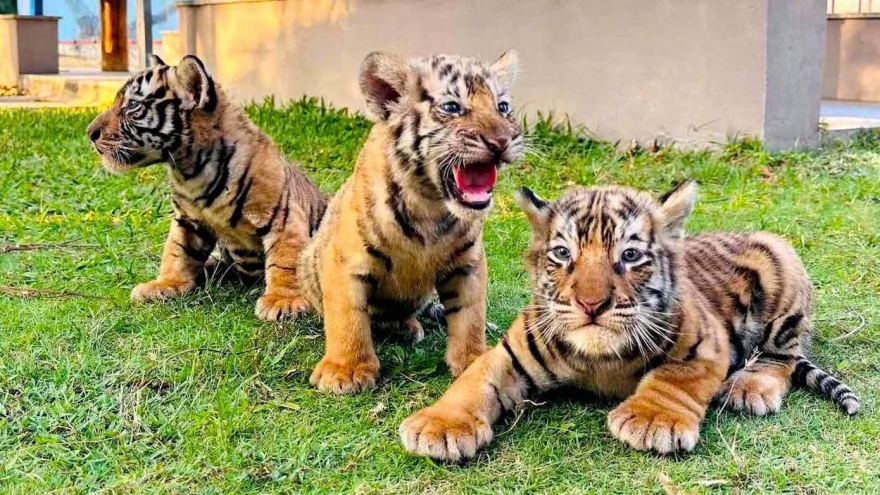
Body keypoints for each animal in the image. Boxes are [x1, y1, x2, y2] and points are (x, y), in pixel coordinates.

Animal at [86, 54, 327, 321]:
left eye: (132, 106)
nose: (90, 133)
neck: (190, 170)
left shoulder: (282, 218)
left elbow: (285, 260)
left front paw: (283, 301)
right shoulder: (187, 220)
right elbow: (177, 253)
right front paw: (166, 284)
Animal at [297, 50, 524, 394]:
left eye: (503, 107)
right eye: (452, 107)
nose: (502, 141)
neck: (431, 204)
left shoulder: (468, 263)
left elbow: (470, 314)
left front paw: (473, 359)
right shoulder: (345, 261)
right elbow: (348, 316)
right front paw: (346, 371)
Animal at [400, 181, 860, 461]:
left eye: (631, 255)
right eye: (563, 253)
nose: (591, 304)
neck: (597, 359)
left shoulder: (707, 343)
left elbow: (675, 378)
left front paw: (652, 420)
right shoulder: (509, 352)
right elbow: (473, 381)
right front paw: (439, 426)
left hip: (781, 262)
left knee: (782, 355)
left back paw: (750, 387)